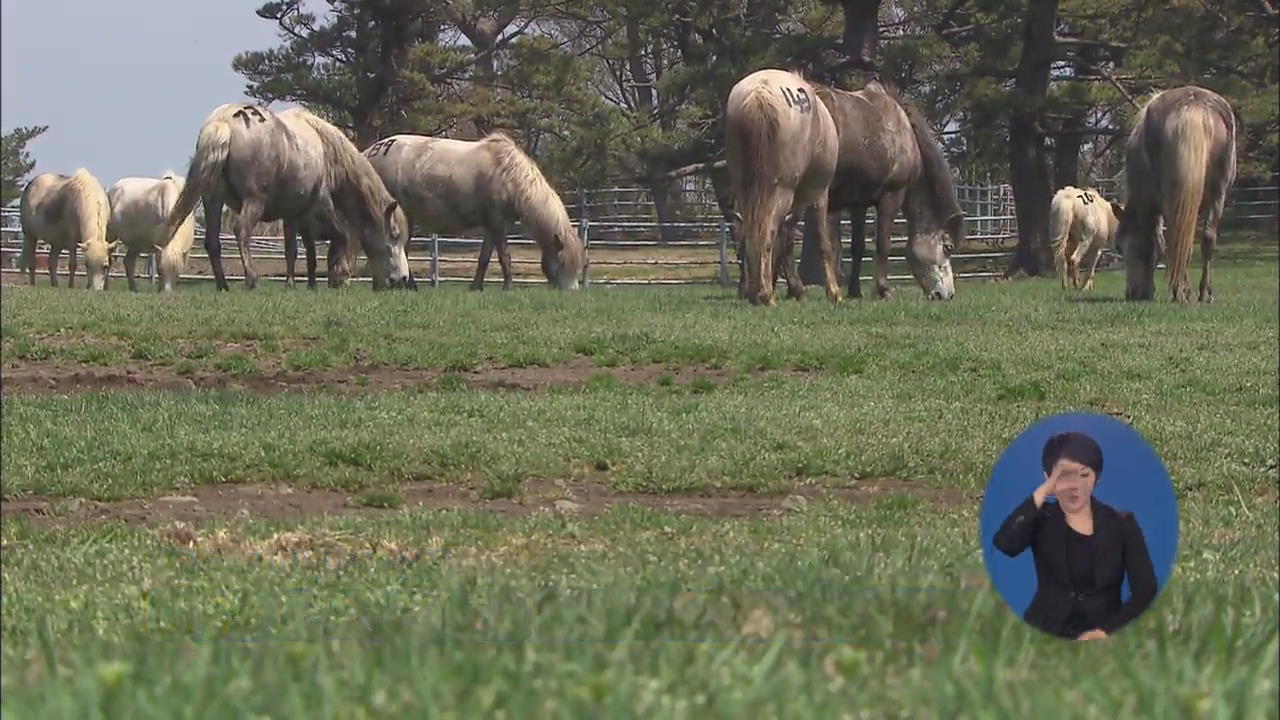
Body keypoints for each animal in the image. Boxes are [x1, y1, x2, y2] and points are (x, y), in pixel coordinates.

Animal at [162, 101, 407, 292]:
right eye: (393, 236)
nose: (403, 279)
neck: (325, 150)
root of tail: (224, 123)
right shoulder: (321, 204)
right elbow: (341, 237)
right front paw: (339, 276)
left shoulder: (293, 214)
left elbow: (293, 250)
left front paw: (294, 283)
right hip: (254, 201)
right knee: (242, 230)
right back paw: (251, 278)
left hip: (213, 200)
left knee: (212, 241)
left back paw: (223, 284)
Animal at [363, 130, 586, 289]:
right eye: (563, 263)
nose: (571, 292)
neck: (510, 175)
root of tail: (369, 152)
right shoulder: (497, 223)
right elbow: (505, 257)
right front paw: (508, 287)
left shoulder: (493, 225)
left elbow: (484, 258)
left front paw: (476, 287)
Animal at [727, 65, 844, 303]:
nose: (741, 290)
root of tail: (760, 93)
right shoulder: (818, 193)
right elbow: (820, 240)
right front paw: (833, 293)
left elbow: (784, 240)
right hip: (782, 188)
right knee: (768, 231)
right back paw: (765, 295)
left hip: (746, 187)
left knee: (756, 231)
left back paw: (758, 292)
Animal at [1116, 85, 1233, 301]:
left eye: (1121, 247)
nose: (1132, 294)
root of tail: (1193, 106)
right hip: (1218, 193)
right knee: (1205, 238)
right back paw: (1204, 293)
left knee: (1177, 238)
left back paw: (1181, 291)